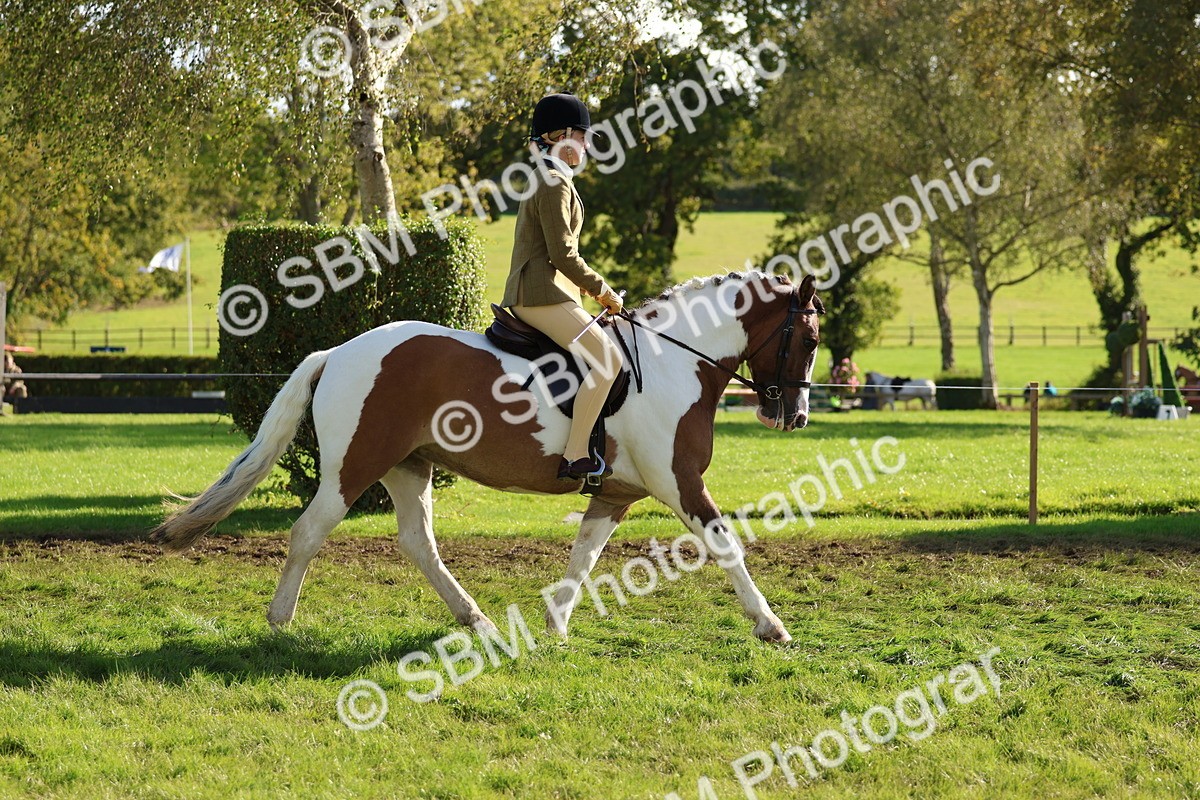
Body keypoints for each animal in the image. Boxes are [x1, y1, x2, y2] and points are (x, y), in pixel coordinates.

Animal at [151, 271, 824, 644]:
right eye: (811, 337)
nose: (793, 416)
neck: (671, 359)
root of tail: (339, 351)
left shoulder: (614, 492)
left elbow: (584, 555)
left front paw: (555, 627)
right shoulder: (679, 481)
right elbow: (727, 546)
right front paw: (772, 626)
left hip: (408, 466)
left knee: (417, 543)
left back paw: (477, 622)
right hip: (353, 468)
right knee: (308, 532)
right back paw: (279, 621)